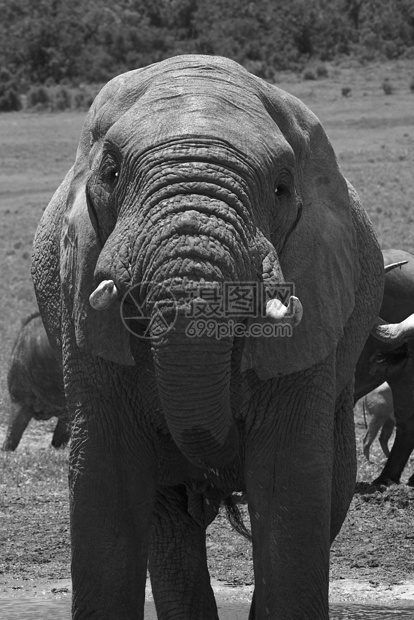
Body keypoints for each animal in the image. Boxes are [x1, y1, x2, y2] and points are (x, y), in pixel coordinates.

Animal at [31, 55, 384, 616]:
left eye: (282, 188)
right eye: (111, 173)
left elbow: (290, 483)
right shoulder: (77, 295)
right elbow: (106, 483)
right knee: (169, 524)